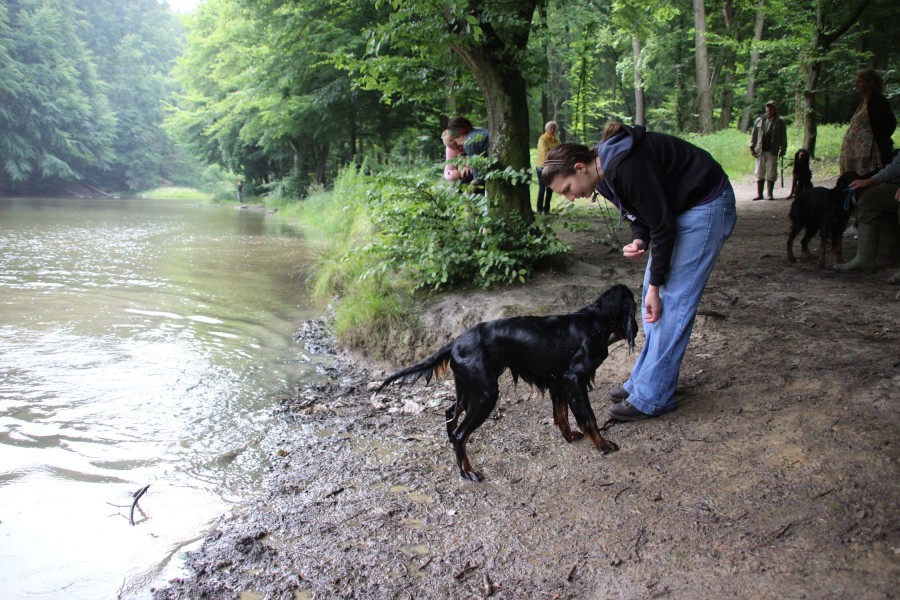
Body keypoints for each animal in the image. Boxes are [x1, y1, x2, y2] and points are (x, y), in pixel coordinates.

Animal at [376, 284, 637, 482]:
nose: (636, 328)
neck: (596, 320)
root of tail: (455, 342)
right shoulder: (574, 378)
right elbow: (588, 417)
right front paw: (603, 445)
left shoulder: (558, 380)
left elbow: (561, 413)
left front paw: (569, 436)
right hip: (485, 394)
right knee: (461, 433)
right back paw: (468, 471)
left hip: (469, 389)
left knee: (450, 412)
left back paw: (455, 450)